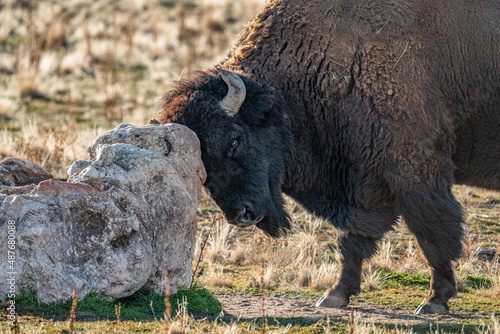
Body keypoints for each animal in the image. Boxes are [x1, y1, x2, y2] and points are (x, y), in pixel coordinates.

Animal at [159, 0, 500, 314]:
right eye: (203, 165)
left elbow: (433, 235)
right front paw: (335, 295)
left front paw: (434, 301)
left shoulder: (416, 175)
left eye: (234, 140)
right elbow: (352, 241)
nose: (242, 215)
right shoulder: (360, 186)